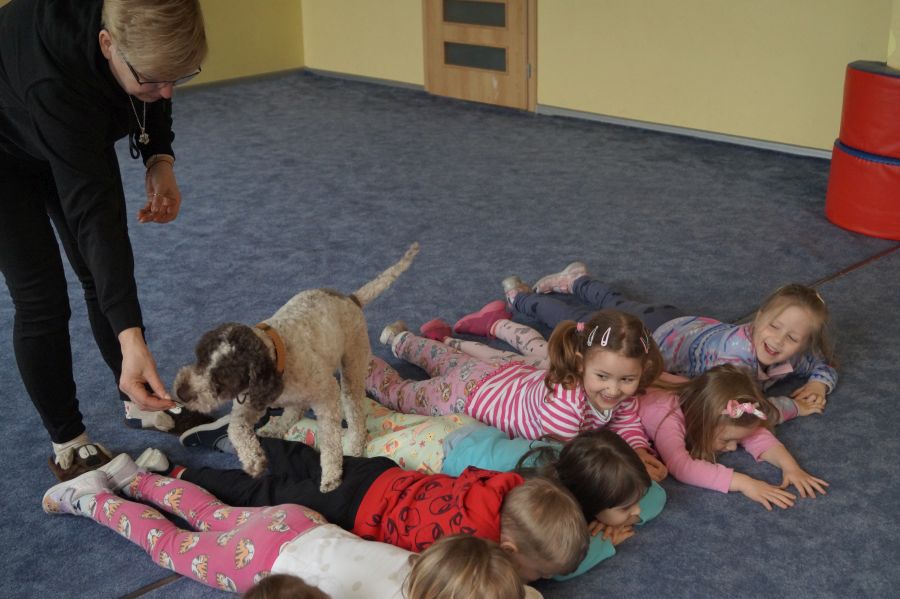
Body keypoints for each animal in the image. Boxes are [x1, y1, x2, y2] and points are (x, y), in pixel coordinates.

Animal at [173, 242, 420, 491]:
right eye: (200, 358)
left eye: (221, 380)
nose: (181, 392)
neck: (275, 353)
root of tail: (351, 299)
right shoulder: (249, 403)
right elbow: (235, 428)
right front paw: (254, 460)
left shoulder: (327, 394)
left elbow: (330, 439)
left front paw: (331, 474)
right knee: (295, 410)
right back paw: (274, 428)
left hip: (352, 367)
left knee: (355, 413)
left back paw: (355, 445)